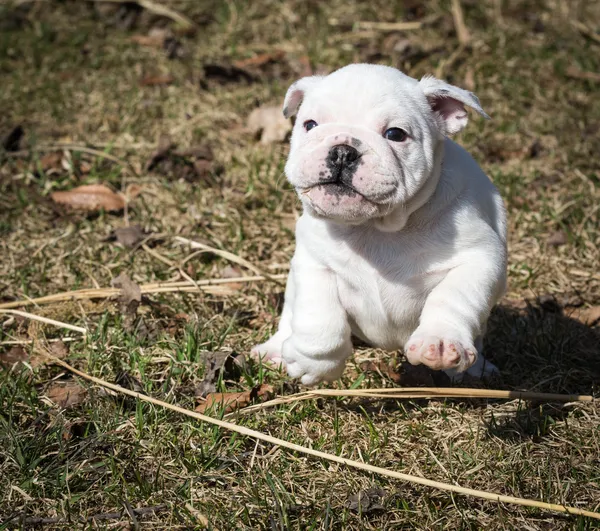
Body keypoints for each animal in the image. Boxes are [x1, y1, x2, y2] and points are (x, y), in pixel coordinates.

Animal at [252, 63, 506, 386]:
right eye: (310, 125)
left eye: (395, 134)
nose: (343, 150)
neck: (375, 226)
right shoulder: (313, 262)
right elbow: (319, 317)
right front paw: (316, 363)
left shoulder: (479, 257)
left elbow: (453, 297)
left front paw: (439, 342)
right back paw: (274, 349)